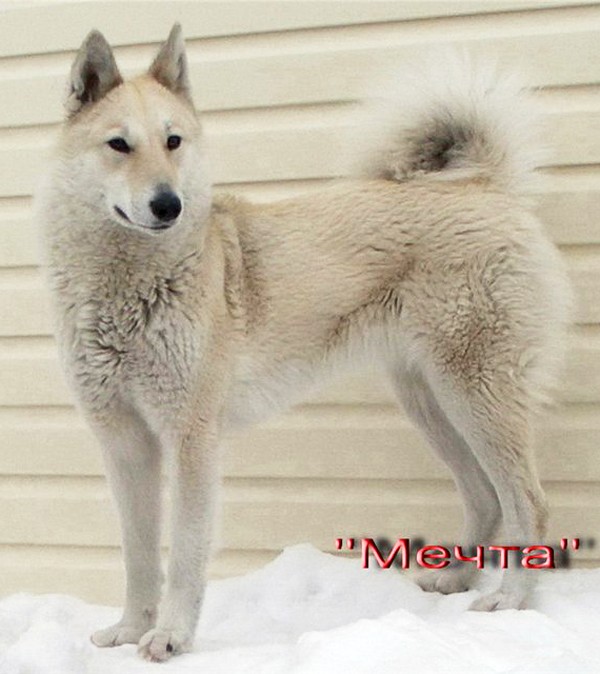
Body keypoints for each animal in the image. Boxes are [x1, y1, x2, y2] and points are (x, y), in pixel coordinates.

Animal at [37, 24, 571, 661]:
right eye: (119, 145)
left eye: (173, 142)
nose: (169, 205)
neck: (128, 283)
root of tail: (484, 186)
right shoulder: (124, 444)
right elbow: (138, 553)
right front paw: (127, 630)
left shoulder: (192, 440)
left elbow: (186, 554)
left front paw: (171, 636)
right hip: (430, 401)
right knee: (486, 497)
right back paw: (457, 580)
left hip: (475, 395)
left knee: (529, 502)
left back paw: (509, 601)